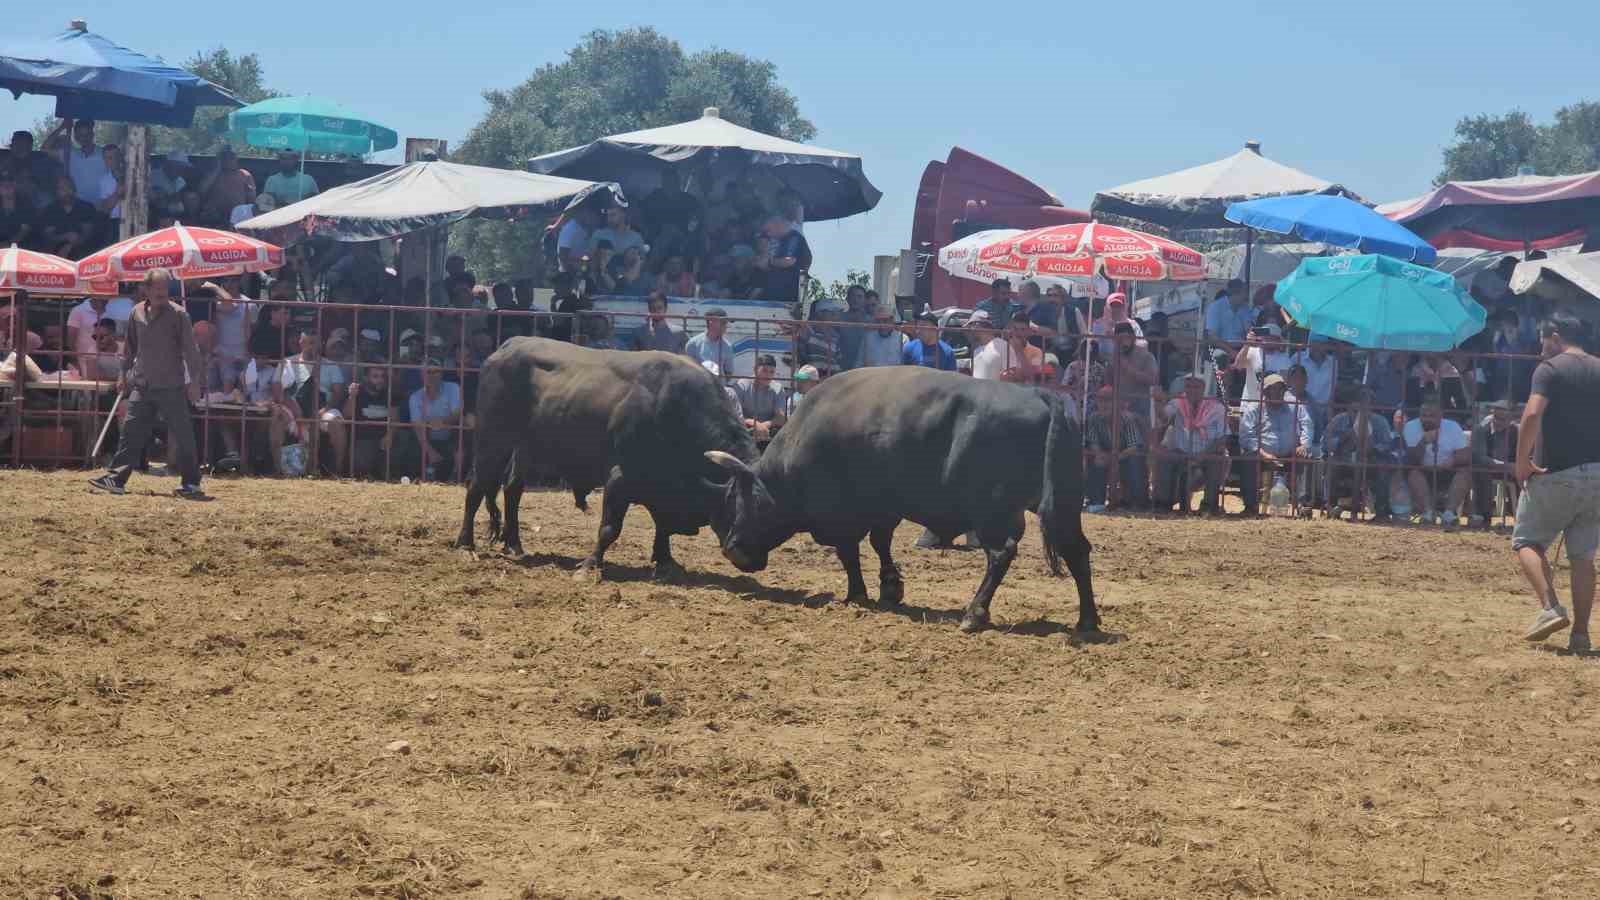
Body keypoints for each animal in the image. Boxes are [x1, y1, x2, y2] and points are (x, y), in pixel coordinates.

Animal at [454, 336, 758, 573]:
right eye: (740, 505)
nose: (749, 557)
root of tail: (507, 347)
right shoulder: (619, 478)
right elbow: (611, 528)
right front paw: (590, 564)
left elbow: (662, 526)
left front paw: (666, 560)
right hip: (492, 439)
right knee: (477, 487)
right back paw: (466, 545)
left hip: (526, 448)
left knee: (512, 489)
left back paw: (514, 544)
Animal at [707, 365, 1094, 630]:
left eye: (741, 501)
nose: (732, 550)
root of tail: (1041, 395)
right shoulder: (884, 508)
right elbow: (880, 543)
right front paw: (890, 587)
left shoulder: (841, 515)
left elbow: (849, 552)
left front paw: (859, 593)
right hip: (1063, 505)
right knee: (1076, 550)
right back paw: (1087, 619)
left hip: (992, 512)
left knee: (1001, 554)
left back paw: (974, 613)